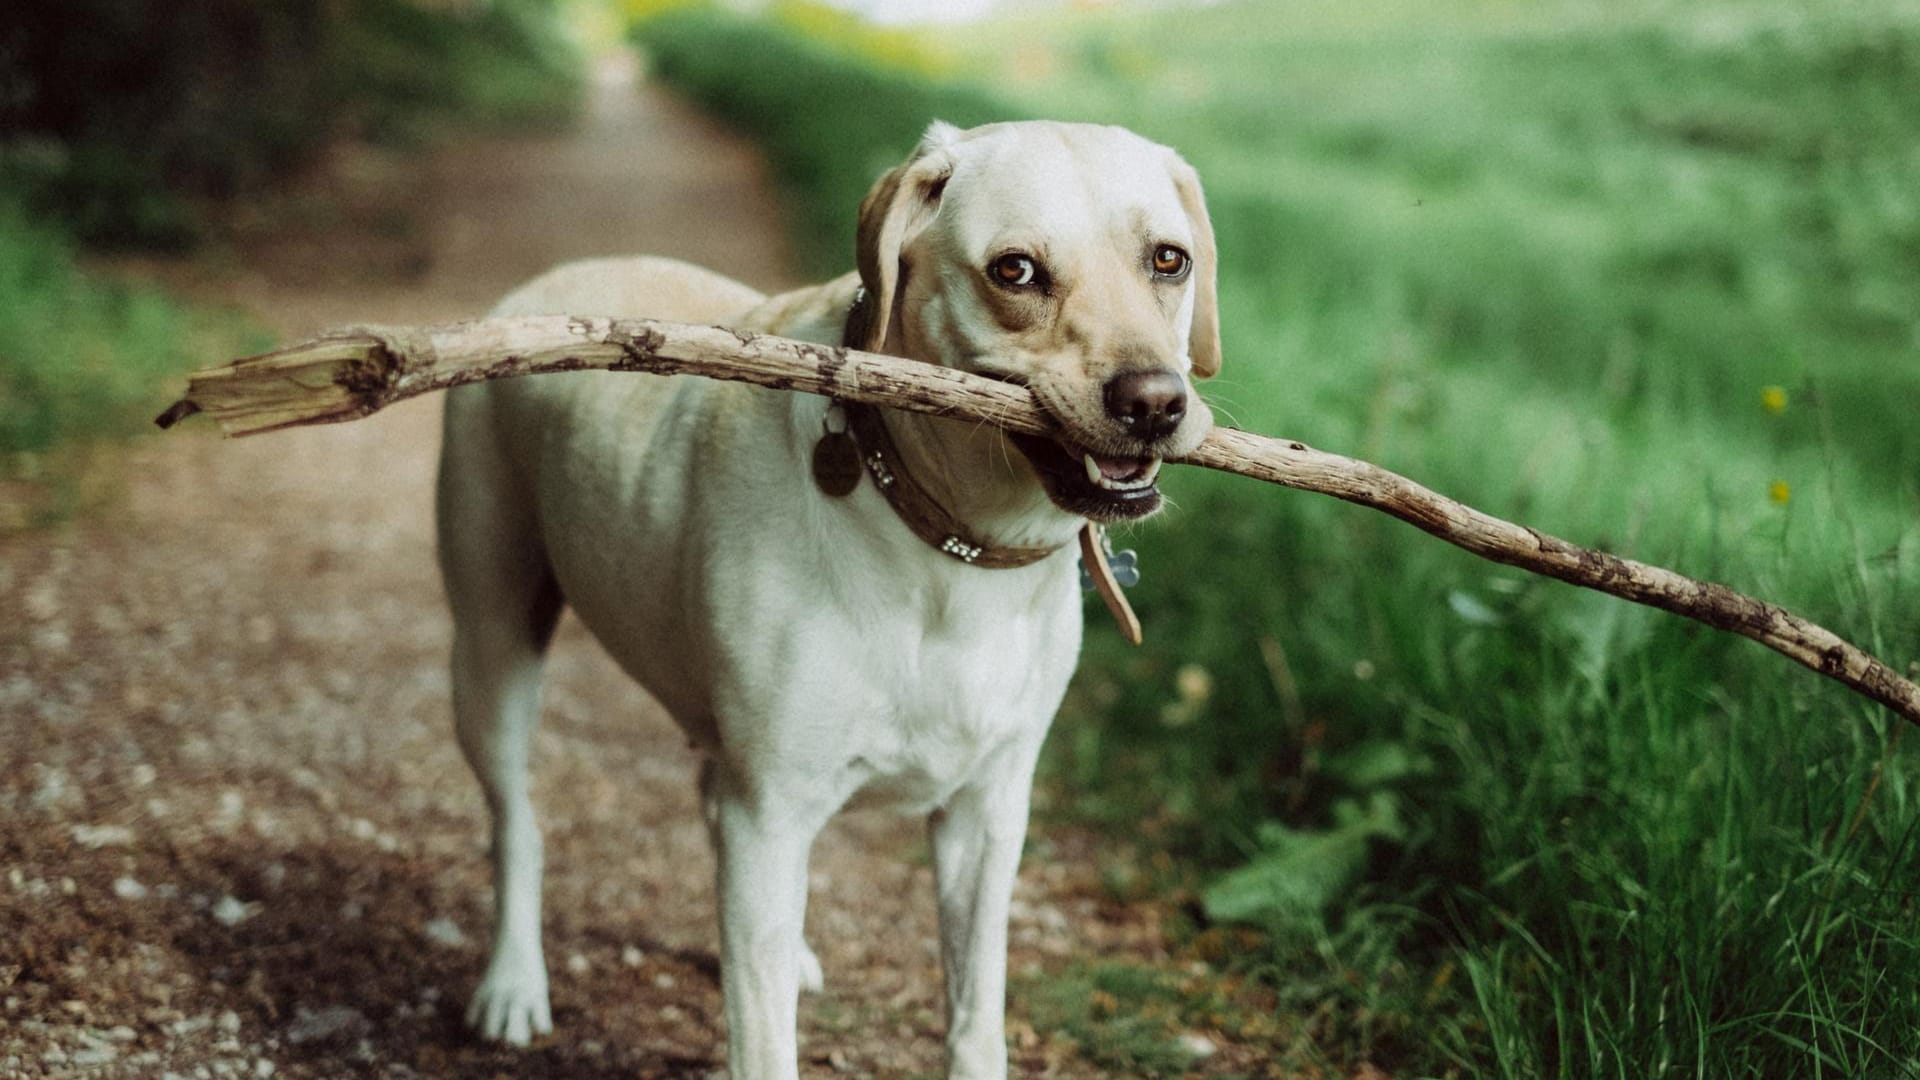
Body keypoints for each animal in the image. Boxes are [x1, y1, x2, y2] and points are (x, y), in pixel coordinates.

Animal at [435, 119, 1213, 1076]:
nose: (1155, 403)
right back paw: (512, 984)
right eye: (1016, 271)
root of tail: (545, 281)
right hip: (493, 644)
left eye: (1169, 260)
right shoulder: (771, 812)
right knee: (518, 824)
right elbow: (764, 1041)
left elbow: (975, 1013)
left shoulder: (986, 814)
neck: (948, 548)